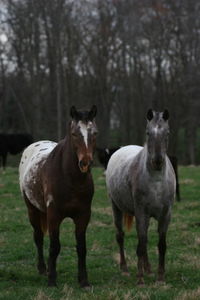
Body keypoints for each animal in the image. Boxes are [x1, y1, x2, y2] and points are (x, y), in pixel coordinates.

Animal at [19, 105, 97, 286]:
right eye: (74, 134)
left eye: (94, 133)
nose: (85, 163)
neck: (70, 178)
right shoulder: (54, 215)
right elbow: (54, 246)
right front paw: (52, 280)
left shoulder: (83, 215)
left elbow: (81, 247)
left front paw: (83, 281)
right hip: (32, 210)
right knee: (39, 237)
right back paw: (43, 268)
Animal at [106, 109, 175, 284]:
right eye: (148, 132)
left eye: (167, 133)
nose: (157, 161)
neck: (156, 180)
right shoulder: (141, 212)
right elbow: (141, 244)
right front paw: (140, 278)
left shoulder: (166, 214)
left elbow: (161, 244)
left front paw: (160, 277)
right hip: (116, 206)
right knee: (121, 236)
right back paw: (125, 269)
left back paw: (148, 268)